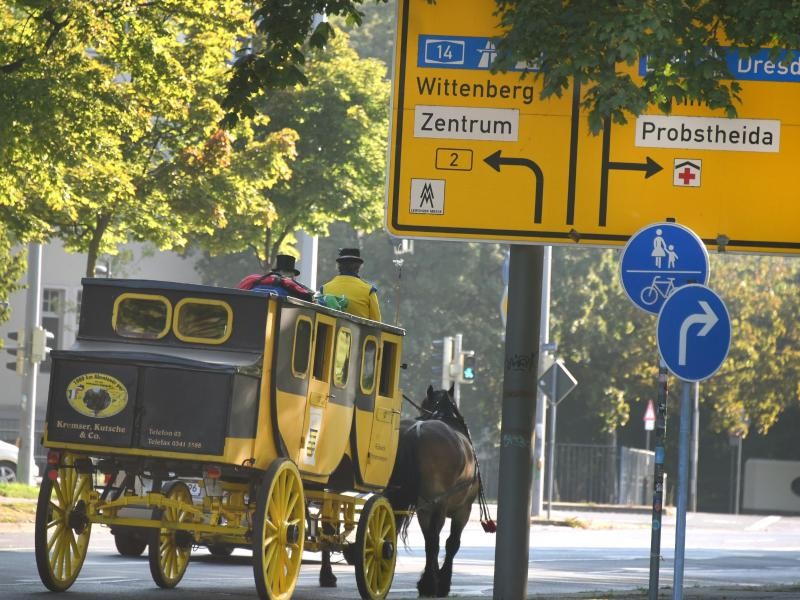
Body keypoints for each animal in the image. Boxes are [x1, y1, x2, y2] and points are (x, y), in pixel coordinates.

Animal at [384, 386, 490, 596]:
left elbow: (429, 541)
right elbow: (451, 543)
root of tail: (415, 432)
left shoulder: (425, 510)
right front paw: (442, 581)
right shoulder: (463, 510)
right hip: (440, 504)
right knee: (436, 541)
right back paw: (430, 583)